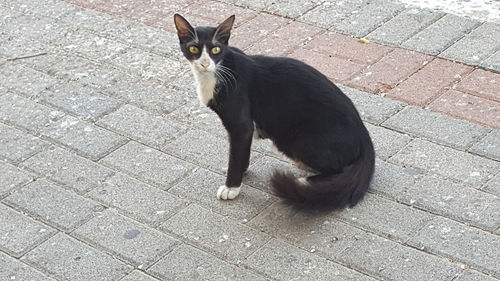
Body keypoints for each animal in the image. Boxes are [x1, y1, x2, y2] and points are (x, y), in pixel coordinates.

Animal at [174, 14, 374, 209]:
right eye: (194, 49)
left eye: (215, 50)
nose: (204, 64)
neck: (215, 74)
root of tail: (365, 137)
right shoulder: (246, 130)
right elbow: (242, 152)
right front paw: (242, 171)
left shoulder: (241, 125)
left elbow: (236, 154)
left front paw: (231, 187)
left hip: (293, 139)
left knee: (339, 169)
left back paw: (305, 182)